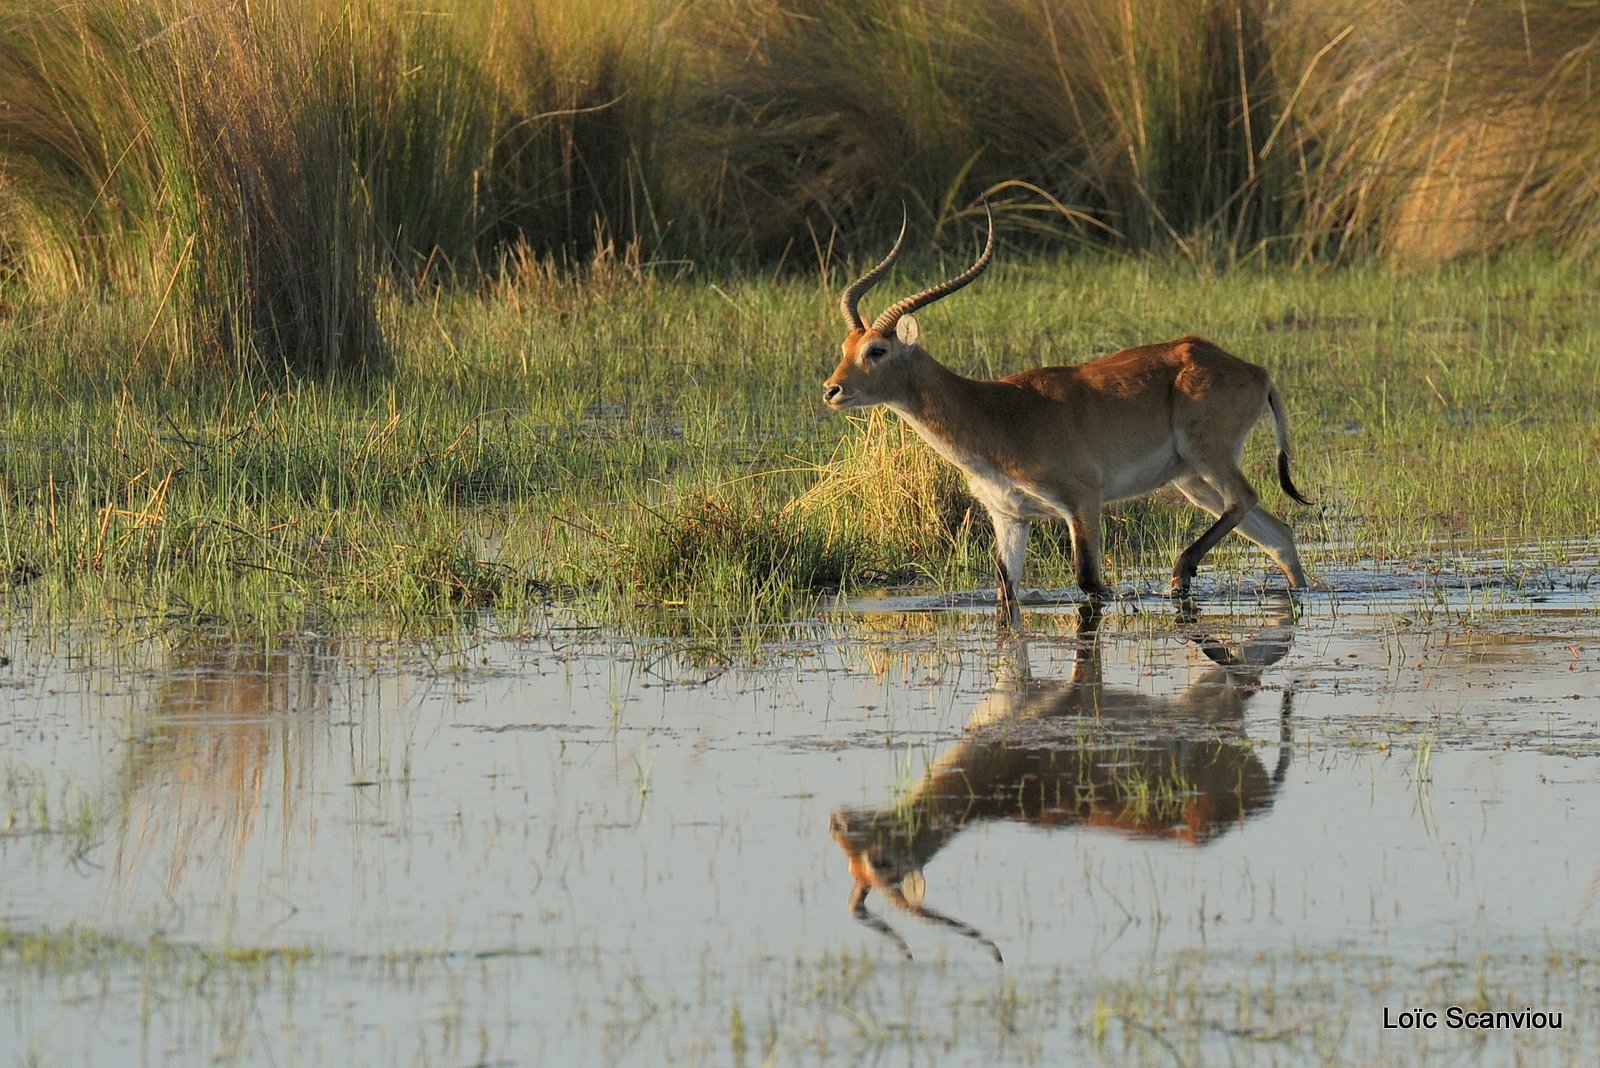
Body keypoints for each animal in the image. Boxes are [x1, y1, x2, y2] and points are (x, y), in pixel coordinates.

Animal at [825, 204, 1312, 613]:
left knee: (1247, 500)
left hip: (1207, 458)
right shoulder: (1009, 517)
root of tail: (1255, 370)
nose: (832, 390)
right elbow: (1005, 591)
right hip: (1193, 480)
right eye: (845, 347)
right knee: (1279, 536)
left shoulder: (1082, 501)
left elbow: (1091, 583)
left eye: (876, 350)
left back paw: (1180, 574)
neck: (993, 413)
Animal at [832, 601, 1292, 959]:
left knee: (1247, 676)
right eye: (850, 867)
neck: (1001, 776)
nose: (836, 822)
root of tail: (1252, 805)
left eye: (880, 862)